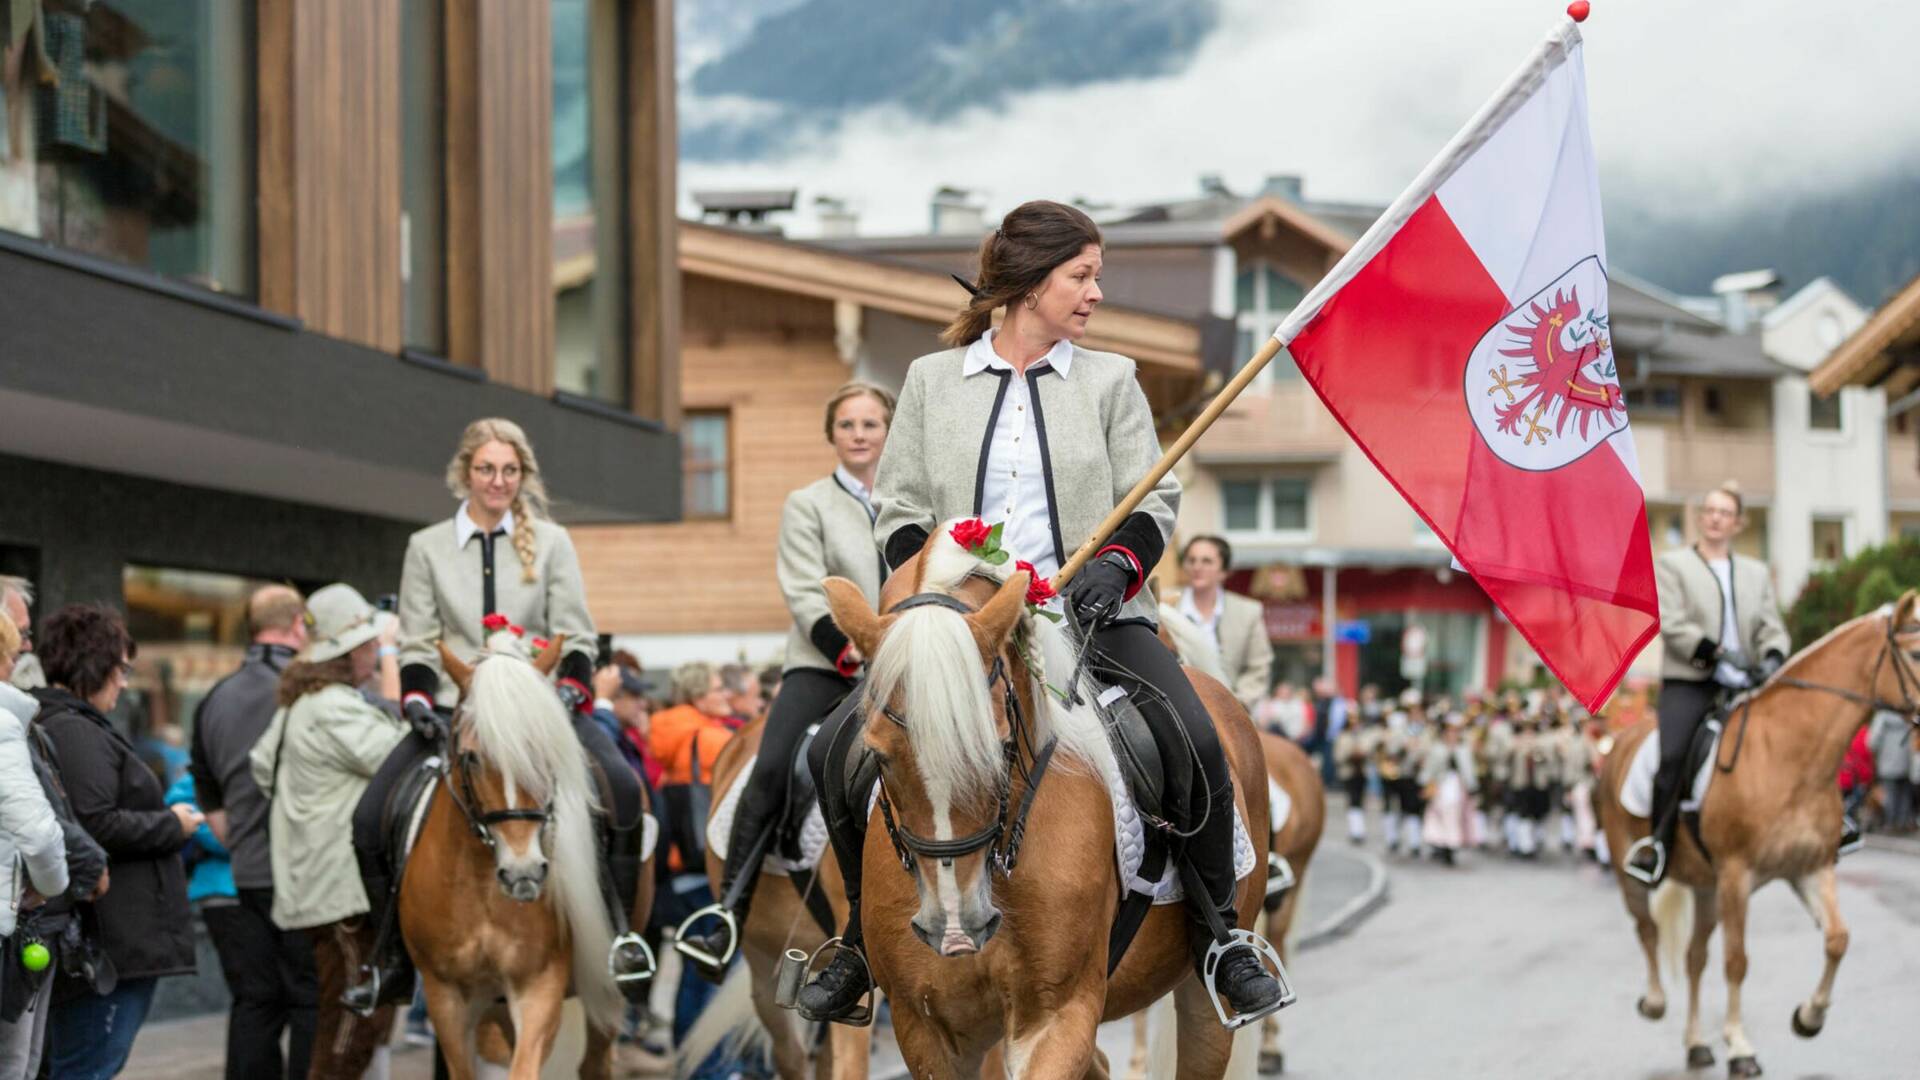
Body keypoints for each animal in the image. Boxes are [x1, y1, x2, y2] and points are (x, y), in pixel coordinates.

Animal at [407, 638, 629, 1076]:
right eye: (473, 757)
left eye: (545, 752)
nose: (523, 872)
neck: (480, 887)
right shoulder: (446, 996)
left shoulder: (539, 985)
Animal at [1589, 591, 1920, 1068]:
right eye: (1915, 653)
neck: (1790, 756)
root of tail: (1621, 741)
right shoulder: (1736, 875)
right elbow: (1737, 960)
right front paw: (1740, 1046)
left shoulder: (1809, 869)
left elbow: (1837, 939)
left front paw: (1808, 1018)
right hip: (1630, 867)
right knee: (1647, 930)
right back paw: (1654, 1003)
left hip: (1706, 888)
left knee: (1694, 957)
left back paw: (1696, 1044)